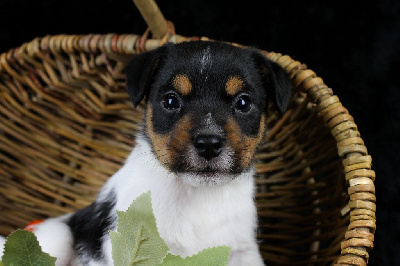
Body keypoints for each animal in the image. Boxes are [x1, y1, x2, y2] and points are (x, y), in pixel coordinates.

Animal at [0, 40, 290, 264]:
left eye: (243, 103)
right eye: (170, 100)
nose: (208, 143)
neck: (197, 196)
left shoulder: (243, 251)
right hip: (56, 236)